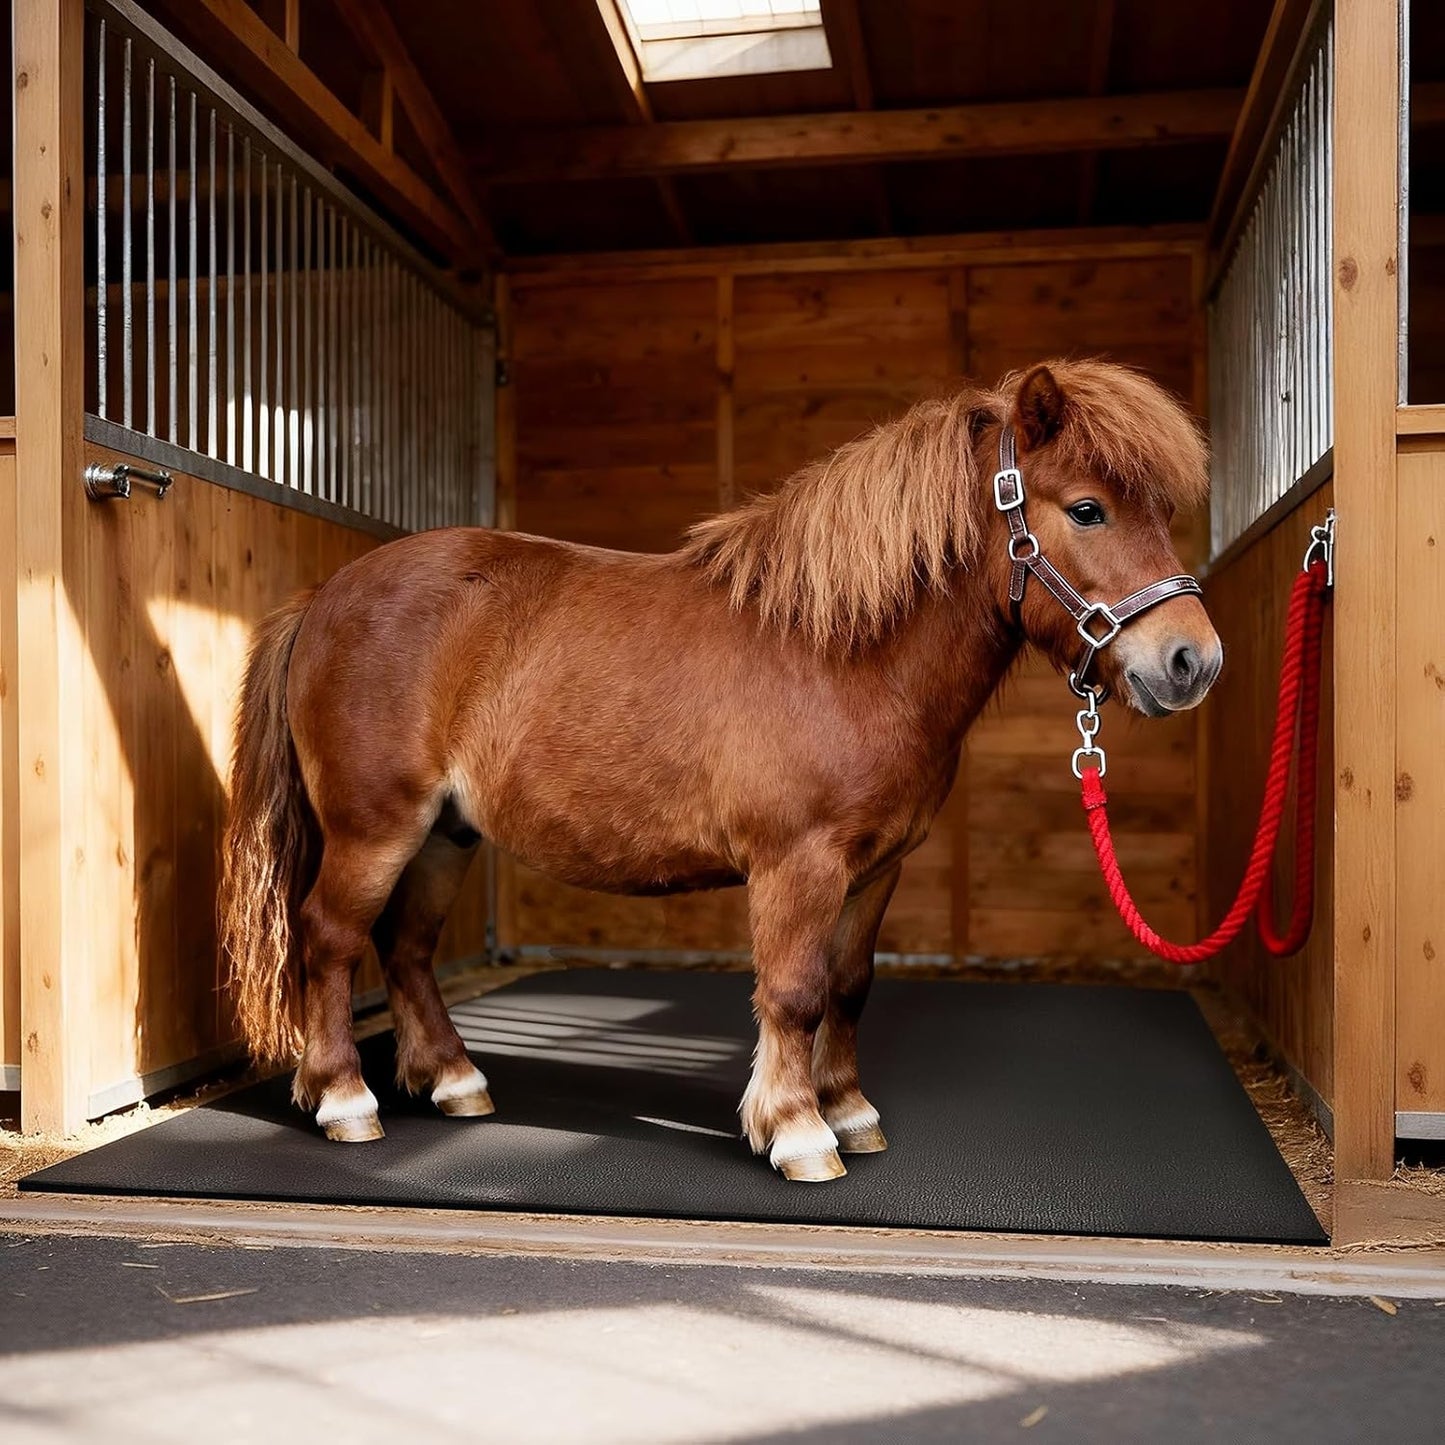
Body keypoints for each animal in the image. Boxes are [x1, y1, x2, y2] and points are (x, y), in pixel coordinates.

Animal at [220, 358, 1222, 1183]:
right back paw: (344, 1097)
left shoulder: (876, 869)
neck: (839, 650)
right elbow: (793, 991)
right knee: (329, 937)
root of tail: (325, 596)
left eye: (1161, 513)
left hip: (445, 833)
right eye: (1086, 508)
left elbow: (847, 986)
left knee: (407, 946)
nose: (1190, 662)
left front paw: (848, 1110)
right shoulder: (797, 864)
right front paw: (797, 1131)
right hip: (374, 827)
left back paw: (453, 1079)